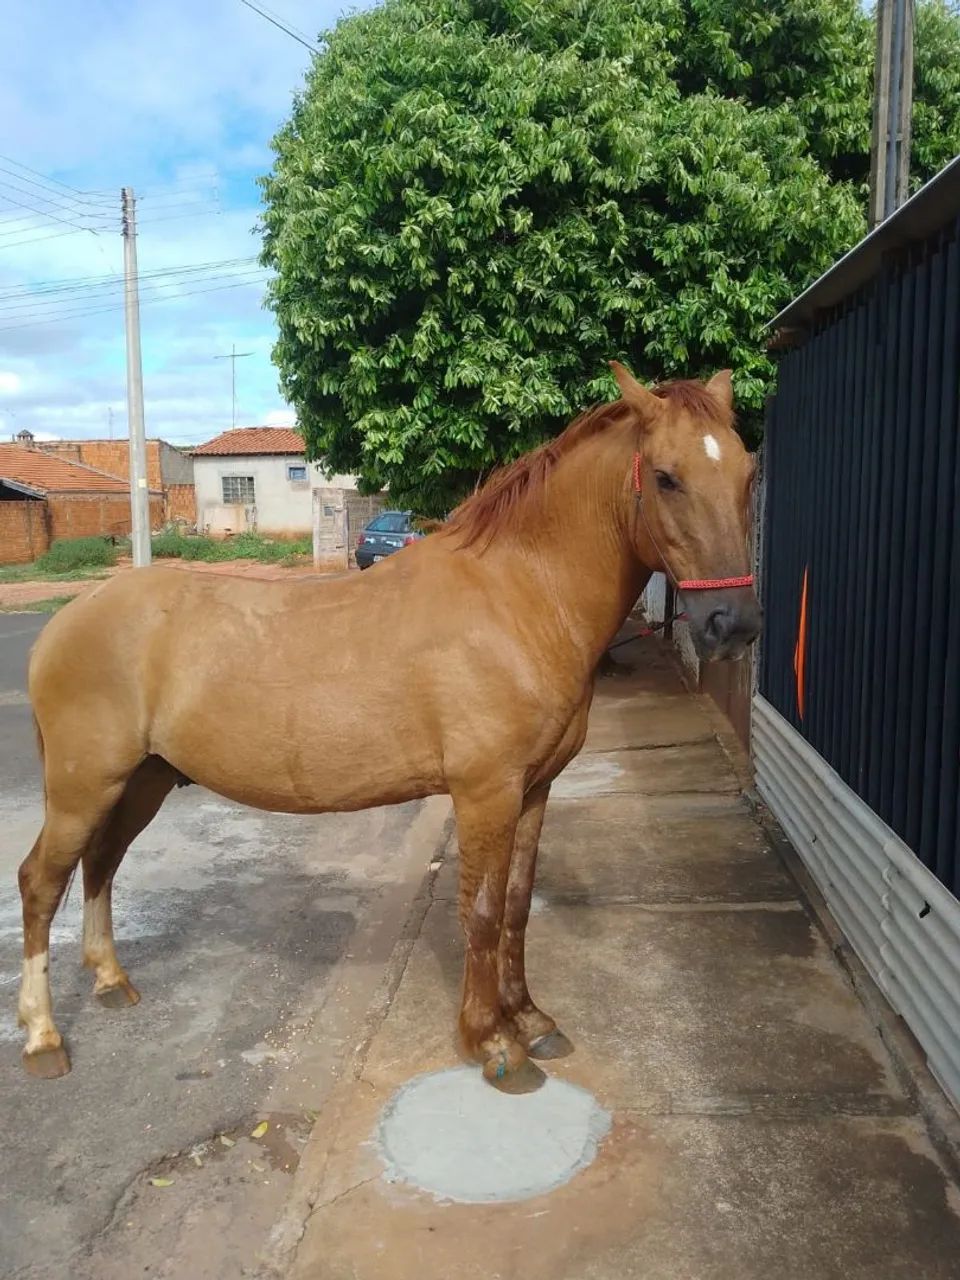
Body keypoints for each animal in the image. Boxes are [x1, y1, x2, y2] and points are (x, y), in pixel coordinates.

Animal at [16, 362, 761, 1092]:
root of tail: (66, 620)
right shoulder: (485, 792)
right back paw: (43, 1038)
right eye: (665, 477)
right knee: (40, 883)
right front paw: (493, 1041)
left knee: (102, 864)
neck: (518, 597)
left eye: (748, 472)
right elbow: (482, 911)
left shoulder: (534, 789)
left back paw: (110, 981)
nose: (733, 625)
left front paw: (531, 1018)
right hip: (84, 789)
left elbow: (518, 904)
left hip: (141, 782)